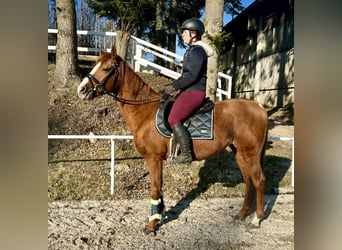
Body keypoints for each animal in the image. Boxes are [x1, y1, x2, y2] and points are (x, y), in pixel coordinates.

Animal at [78, 45, 270, 232]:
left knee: (259, 180)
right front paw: (159, 214)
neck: (145, 112)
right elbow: (159, 186)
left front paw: (152, 223)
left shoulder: (153, 158)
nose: (81, 90)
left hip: (250, 153)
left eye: (106, 68)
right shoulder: (157, 160)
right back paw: (242, 214)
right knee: (249, 181)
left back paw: (257, 218)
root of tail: (259, 107)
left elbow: (155, 187)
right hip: (240, 153)